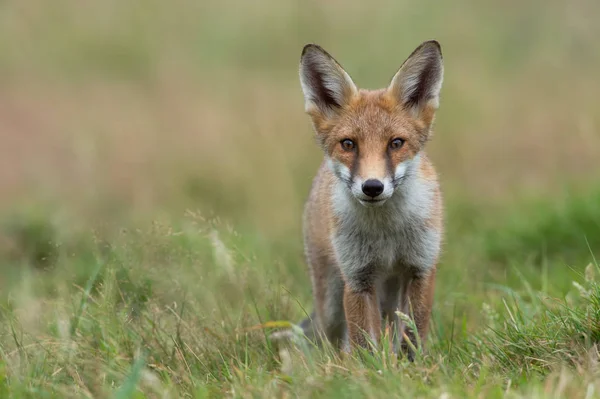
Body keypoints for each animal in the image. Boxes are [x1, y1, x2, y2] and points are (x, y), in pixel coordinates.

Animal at [274, 40, 442, 358]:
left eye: (396, 143)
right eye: (349, 144)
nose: (372, 187)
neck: (387, 233)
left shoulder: (420, 268)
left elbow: (411, 337)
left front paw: (414, 367)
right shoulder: (357, 277)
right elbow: (365, 344)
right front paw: (372, 370)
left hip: (389, 293)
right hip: (331, 301)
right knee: (331, 338)